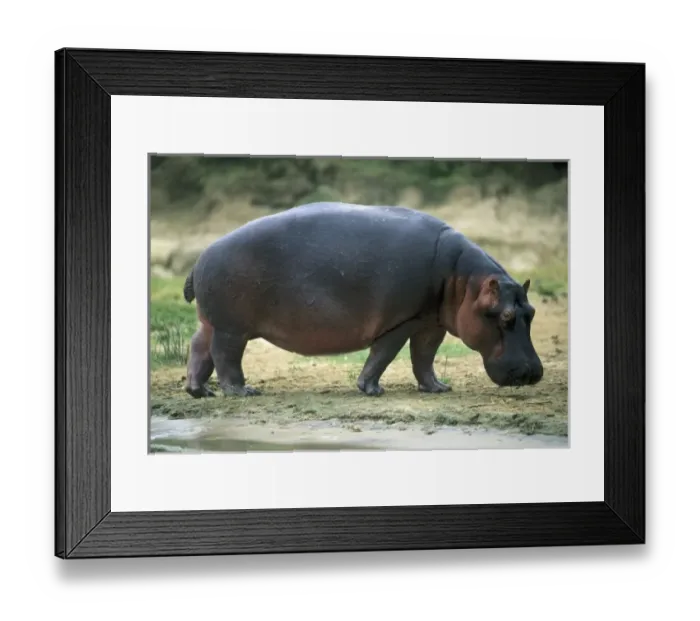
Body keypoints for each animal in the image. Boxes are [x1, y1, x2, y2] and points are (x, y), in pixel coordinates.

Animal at [182, 202, 543, 398]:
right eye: (506, 316)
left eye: (532, 311)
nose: (533, 373)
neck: (464, 281)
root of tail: (200, 257)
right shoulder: (402, 320)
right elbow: (384, 354)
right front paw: (372, 389)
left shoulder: (431, 322)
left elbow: (424, 357)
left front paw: (439, 387)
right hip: (232, 328)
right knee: (226, 357)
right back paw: (242, 391)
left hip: (211, 321)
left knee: (199, 348)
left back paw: (200, 392)